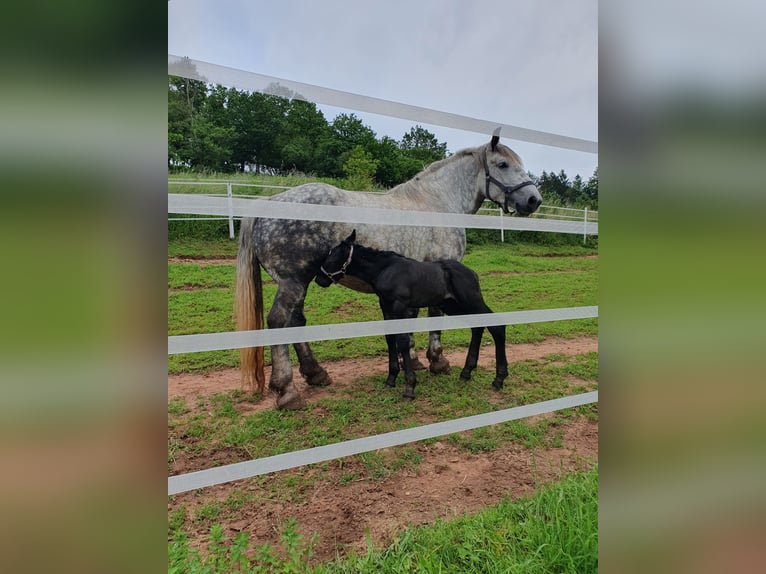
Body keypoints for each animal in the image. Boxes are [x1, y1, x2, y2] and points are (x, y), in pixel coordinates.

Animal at [237, 133, 544, 412]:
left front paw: (414, 362)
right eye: (503, 164)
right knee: (279, 322)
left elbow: (409, 324)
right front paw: (437, 361)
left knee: (296, 322)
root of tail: (267, 204)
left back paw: (316, 373)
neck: (436, 203)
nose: (534, 200)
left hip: (301, 282)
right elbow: (433, 318)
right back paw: (287, 390)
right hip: (293, 282)